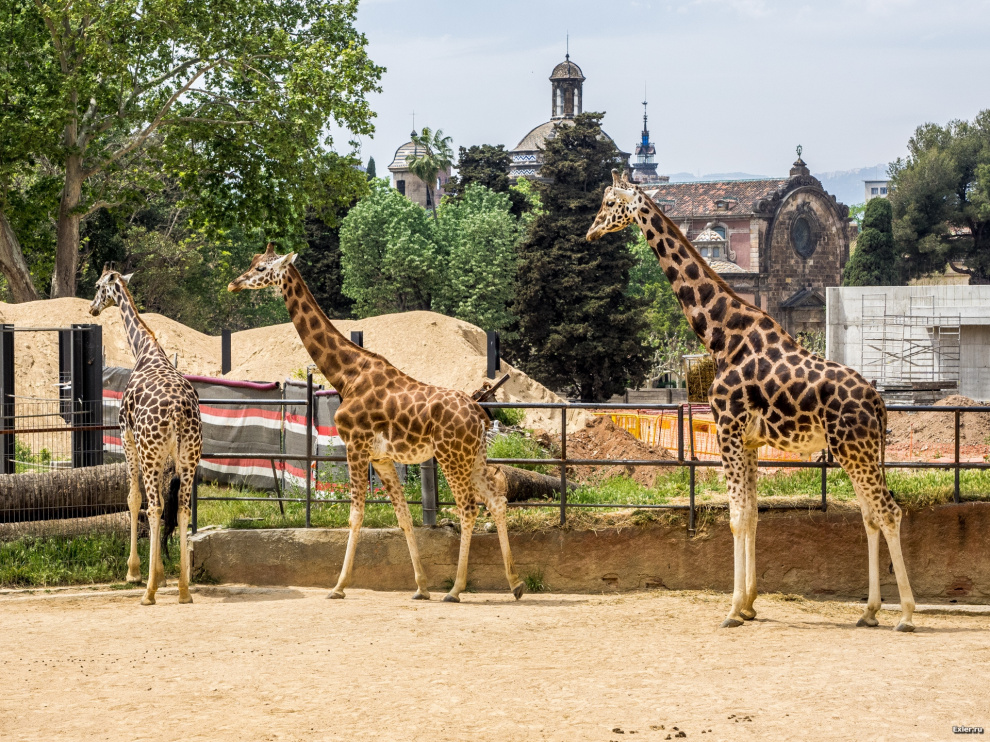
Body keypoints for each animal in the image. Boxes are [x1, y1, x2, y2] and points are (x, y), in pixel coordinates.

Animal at [90, 267, 203, 605]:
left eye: (98, 286)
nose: (92, 308)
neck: (145, 351)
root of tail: (179, 413)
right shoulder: (168, 457)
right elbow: (166, 504)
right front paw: (163, 574)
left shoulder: (126, 437)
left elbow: (133, 499)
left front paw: (135, 571)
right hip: (190, 456)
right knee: (181, 508)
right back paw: (183, 591)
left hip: (151, 453)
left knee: (152, 507)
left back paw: (149, 592)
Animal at [227, 244, 524, 603]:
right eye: (252, 262)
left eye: (261, 268)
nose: (232, 284)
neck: (347, 374)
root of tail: (480, 414)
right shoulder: (382, 458)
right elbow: (404, 517)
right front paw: (421, 587)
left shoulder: (355, 446)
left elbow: (355, 515)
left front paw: (338, 586)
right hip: (474, 457)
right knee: (496, 499)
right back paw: (515, 583)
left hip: (451, 457)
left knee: (468, 508)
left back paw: (455, 589)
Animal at [587, 171, 916, 631]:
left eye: (608, 202)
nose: (590, 231)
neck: (722, 336)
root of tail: (879, 403)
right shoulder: (749, 441)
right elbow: (753, 514)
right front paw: (749, 604)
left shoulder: (727, 429)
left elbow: (736, 517)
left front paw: (731, 609)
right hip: (859, 451)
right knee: (870, 515)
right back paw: (869, 612)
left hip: (855, 449)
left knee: (888, 512)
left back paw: (905, 614)